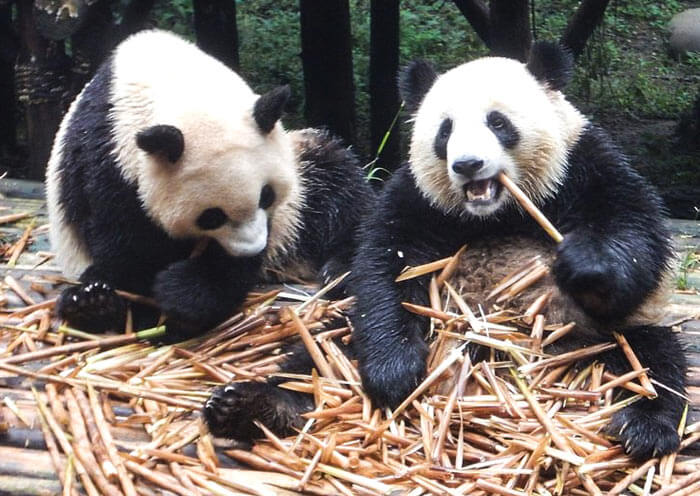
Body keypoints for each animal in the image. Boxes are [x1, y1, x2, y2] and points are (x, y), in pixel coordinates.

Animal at [46, 29, 371, 340]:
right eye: (212, 216)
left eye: (266, 196)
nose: (251, 248)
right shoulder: (109, 161)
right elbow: (124, 244)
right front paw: (146, 313)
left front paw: (183, 294)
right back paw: (91, 304)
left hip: (303, 176)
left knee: (338, 187)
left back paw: (339, 269)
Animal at [347, 42, 686, 460]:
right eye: (445, 130)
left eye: (497, 122)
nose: (468, 164)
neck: (498, 213)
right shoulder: (419, 197)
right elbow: (386, 267)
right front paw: (394, 373)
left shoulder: (583, 163)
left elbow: (636, 232)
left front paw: (583, 264)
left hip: (617, 333)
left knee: (652, 362)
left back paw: (642, 428)